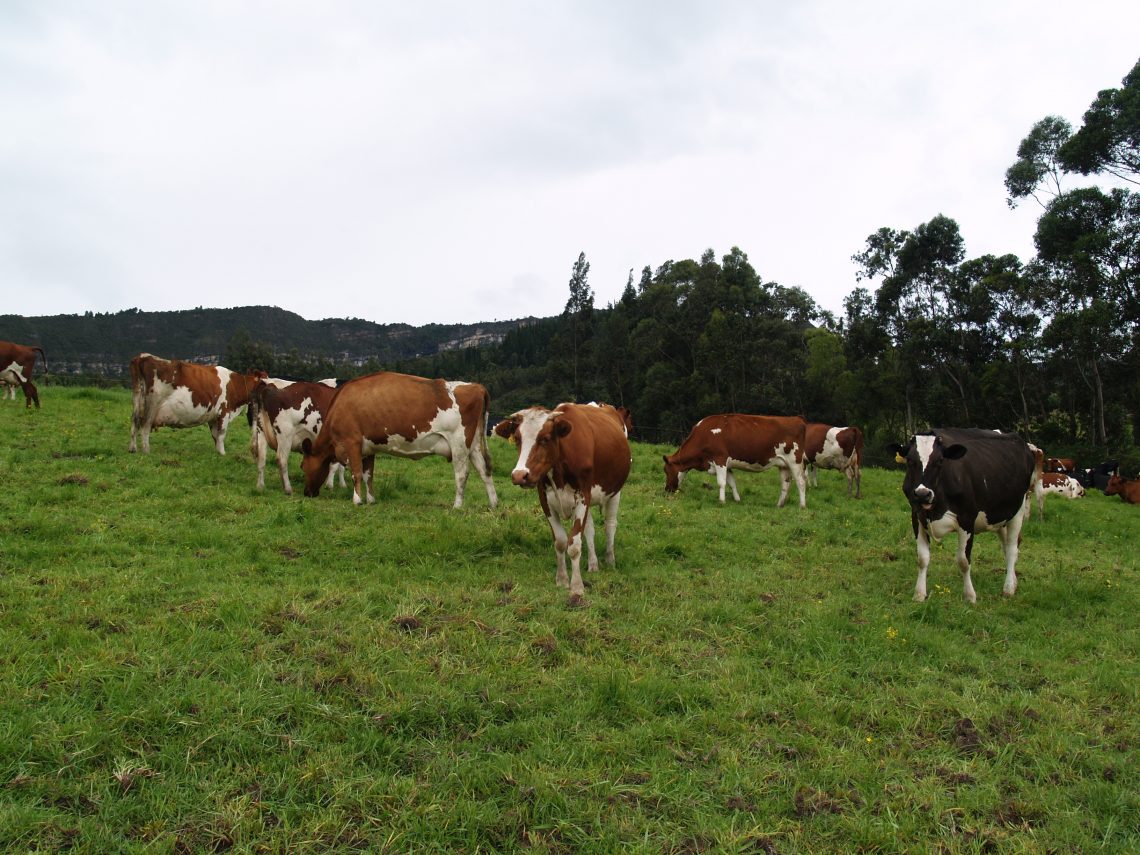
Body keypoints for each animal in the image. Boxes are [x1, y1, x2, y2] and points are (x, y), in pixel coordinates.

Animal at [128, 353, 267, 454]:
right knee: (145, 425)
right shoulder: (224, 412)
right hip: (152, 405)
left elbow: (215, 436)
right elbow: (221, 434)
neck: (234, 384)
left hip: (137, 401)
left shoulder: (213, 416)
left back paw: (132, 449)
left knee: (134, 422)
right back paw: (146, 451)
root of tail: (143, 356)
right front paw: (223, 454)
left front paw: (218, 453)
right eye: (264, 382)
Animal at [300, 370, 498, 509]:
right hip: (473, 445)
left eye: (302, 466)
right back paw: (494, 504)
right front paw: (371, 499)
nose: (306, 493)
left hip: (459, 443)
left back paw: (457, 505)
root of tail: (476, 386)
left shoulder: (352, 442)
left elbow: (356, 473)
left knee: (462, 473)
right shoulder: (368, 448)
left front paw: (357, 500)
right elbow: (368, 475)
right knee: (484, 470)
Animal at [494, 403, 631, 599]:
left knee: (610, 525)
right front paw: (561, 580)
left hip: (615, 492)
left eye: (545, 439)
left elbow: (574, 544)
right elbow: (560, 541)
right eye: (518, 439)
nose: (519, 475)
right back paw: (593, 564)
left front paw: (577, 586)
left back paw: (610, 560)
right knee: (589, 530)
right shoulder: (545, 499)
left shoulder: (583, 496)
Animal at [662, 414, 808, 507]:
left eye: (666, 470)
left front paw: (722, 501)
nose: (667, 490)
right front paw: (737, 499)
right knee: (785, 484)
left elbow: (721, 483)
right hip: (783, 464)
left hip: (795, 461)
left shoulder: (720, 459)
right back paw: (779, 505)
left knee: (801, 482)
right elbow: (731, 482)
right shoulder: (727, 464)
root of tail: (797, 418)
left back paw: (802, 505)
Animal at [893, 428, 1036, 603]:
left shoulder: (967, 519)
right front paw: (919, 594)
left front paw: (970, 596)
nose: (922, 494)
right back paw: (1014, 583)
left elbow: (963, 561)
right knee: (1008, 546)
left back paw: (1008, 588)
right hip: (1000, 516)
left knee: (1011, 549)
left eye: (940, 461)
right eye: (909, 461)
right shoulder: (917, 517)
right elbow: (922, 558)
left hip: (1018, 510)